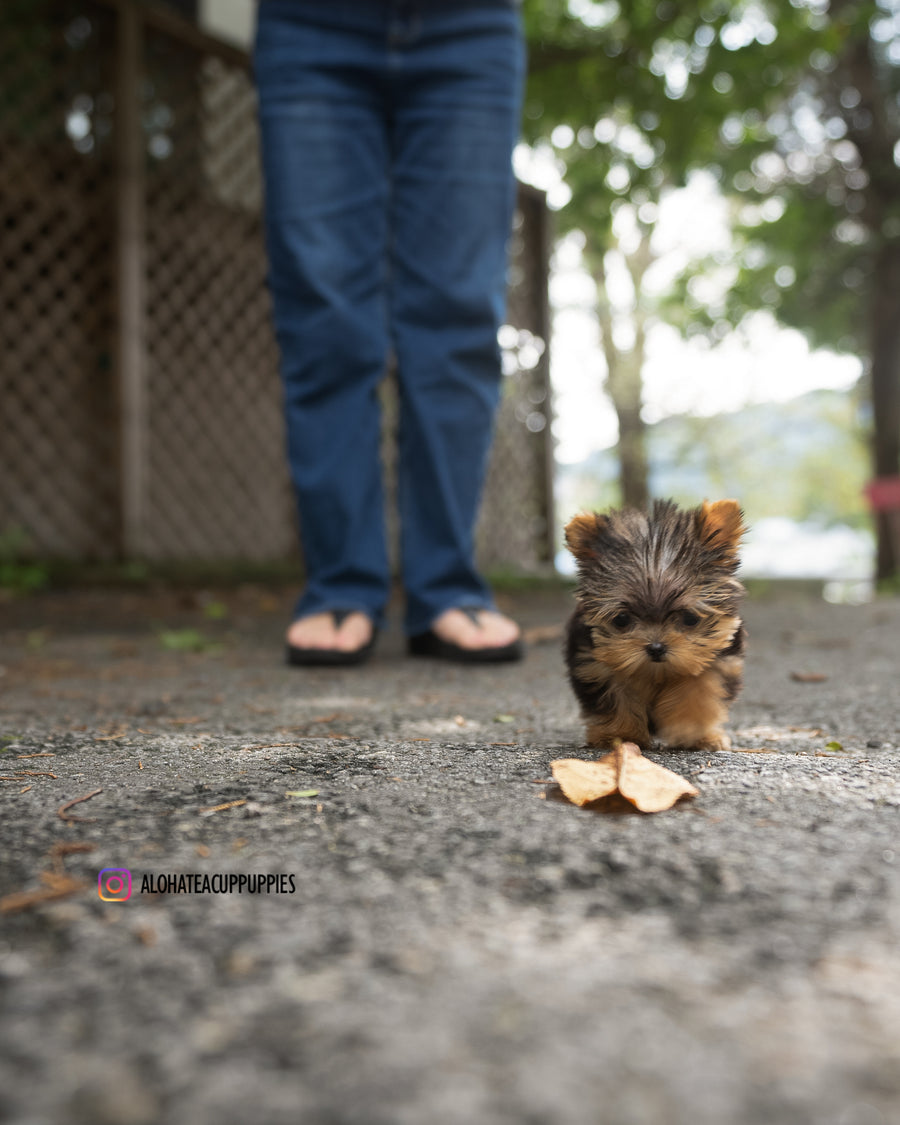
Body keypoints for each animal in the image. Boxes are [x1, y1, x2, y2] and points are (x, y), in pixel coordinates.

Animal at [567, 499, 747, 747]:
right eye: (622, 619)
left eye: (689, 618)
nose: (656, 648)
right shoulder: (597, 665)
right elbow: (617, 696)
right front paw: (620, 735)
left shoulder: (716, 660)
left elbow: (698, 689)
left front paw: (690, 729)